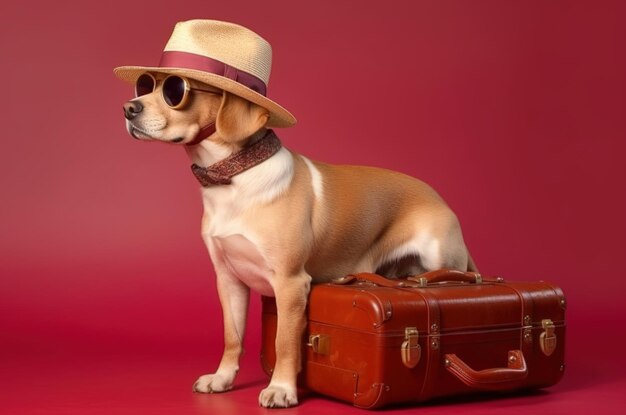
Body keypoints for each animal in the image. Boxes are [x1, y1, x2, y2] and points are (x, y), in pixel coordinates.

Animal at [116, 20, 472, 410]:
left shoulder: (290, 283)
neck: (233, 178)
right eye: (146, 85)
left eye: (175, 91)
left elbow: (284, 343)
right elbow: (232, 337)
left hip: (441, 260)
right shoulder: (229, 280)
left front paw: (282, 388)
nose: (128, 108)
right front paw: (223, 378)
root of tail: (437, 195)